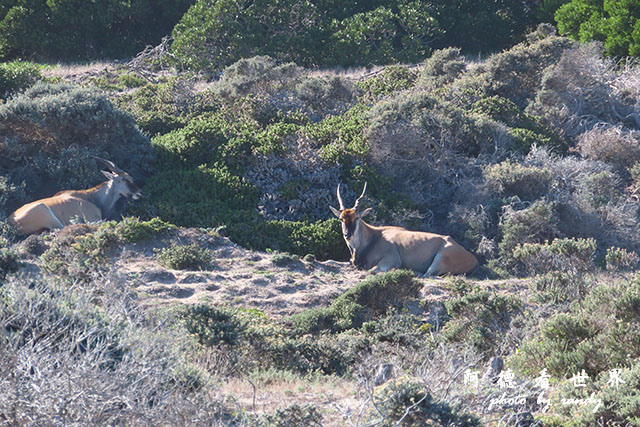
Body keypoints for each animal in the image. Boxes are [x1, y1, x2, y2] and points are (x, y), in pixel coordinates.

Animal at [7, 158, 140, 236]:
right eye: (124, 179)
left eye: (131, 178)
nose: (139, 193)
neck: (90, 197)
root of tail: (10, 221)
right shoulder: (94, 219)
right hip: (44, 210)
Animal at [332, 184, 478, 278]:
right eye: (341, 219)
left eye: (356, 218)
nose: (347, 235)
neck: (373, 237)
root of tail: (473, 259)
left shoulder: (390, 260)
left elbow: (372, 270)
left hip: (441, 257)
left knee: (427, 275)